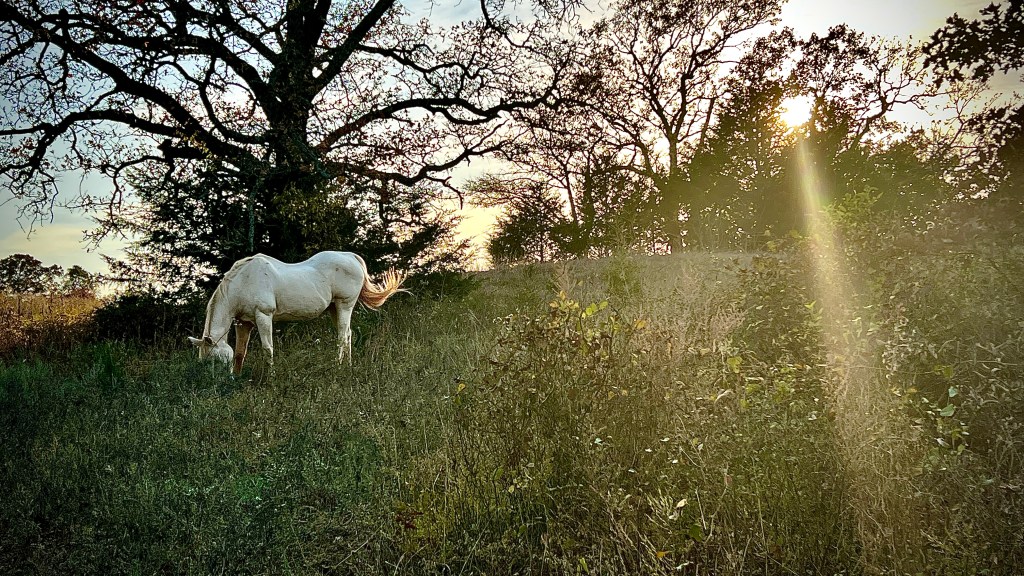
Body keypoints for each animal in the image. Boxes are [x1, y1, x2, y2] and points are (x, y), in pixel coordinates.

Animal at [187, 251, 406, 375]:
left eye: (215, 359)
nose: (221, 382)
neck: (243, 281)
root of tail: (352, 257)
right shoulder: (244, 323)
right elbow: (240, 352)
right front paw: (238, 376)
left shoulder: (263, 316)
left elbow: (268, 349)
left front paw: (271, 376)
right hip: (334, 308)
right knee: (348, 335)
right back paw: (348, 366)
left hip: (345, 305)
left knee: (342, 337)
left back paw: (337, 367)